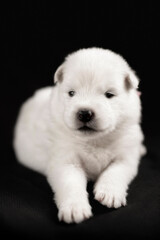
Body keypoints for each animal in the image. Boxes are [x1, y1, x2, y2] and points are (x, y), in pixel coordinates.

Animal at [13, 47, 146, 224]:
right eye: (71, 93)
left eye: (109, 94)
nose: (84, 113)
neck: (95, 141)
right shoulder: (65, 160)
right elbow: (70, 183)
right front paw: (74, 209)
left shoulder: (126, 155)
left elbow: (116, 171)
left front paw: (109, 194)